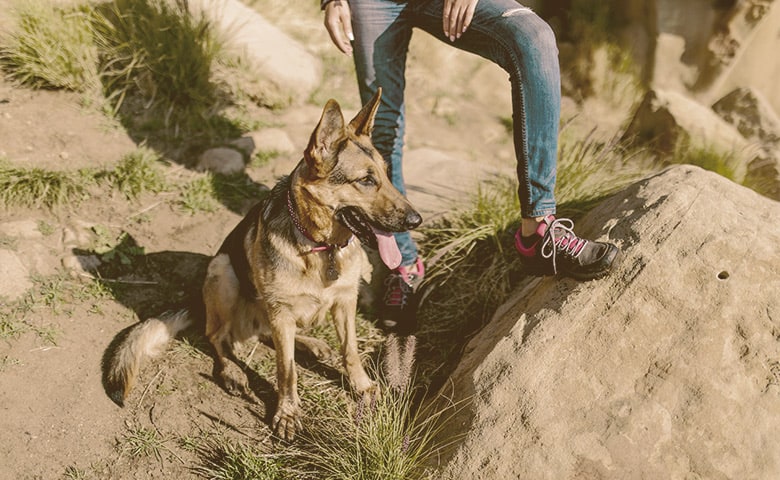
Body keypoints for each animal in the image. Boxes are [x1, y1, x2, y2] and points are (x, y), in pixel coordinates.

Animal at [105, 90, 420, 438]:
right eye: (365, 180)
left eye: (387, 176)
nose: (416, 220)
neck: (319, 246)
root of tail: (197, 298)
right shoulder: (281, 311)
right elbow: (286, 370)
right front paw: (287, 412)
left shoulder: (344, 302)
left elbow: (349, 350)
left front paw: (361, 386)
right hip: (224, 272)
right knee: (217, 335)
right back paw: (232, 370)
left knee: (265, 333)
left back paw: (309, 343)